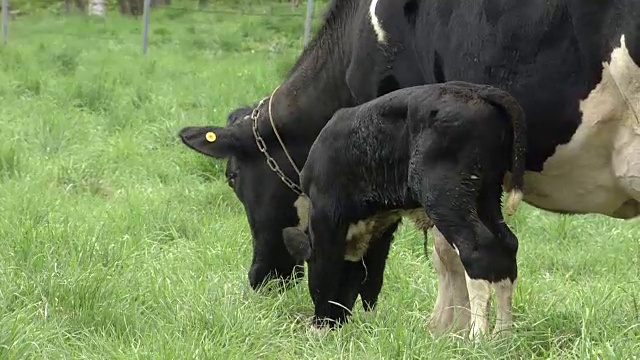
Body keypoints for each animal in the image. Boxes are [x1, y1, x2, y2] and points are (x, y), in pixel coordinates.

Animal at [278, 82, 528, 338]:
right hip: (486, 197)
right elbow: (372, 281)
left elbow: (324, 272)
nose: (334, 321)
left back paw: (478, 336)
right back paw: (502, 335)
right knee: (506, 247)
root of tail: (477, 91)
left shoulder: (326, 214)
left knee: (478, 250)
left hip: (446, 198)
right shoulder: (381, 230)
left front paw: (317, 331)